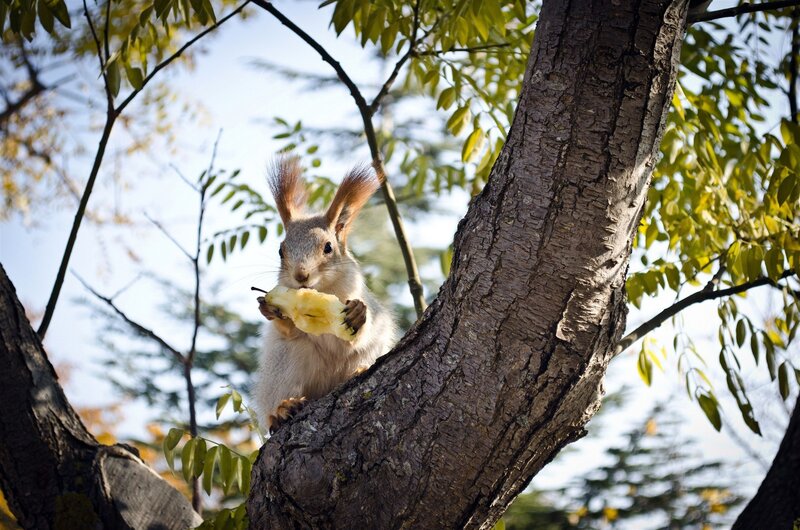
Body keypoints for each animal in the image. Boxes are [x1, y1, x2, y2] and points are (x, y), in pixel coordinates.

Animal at [254, 157, 397, 433]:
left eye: (328, 247)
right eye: (280, 250)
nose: (301, 276)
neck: (321, 290)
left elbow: (353, 337)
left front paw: (357, 314)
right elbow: (289, 331)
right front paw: (269, 310)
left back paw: (357, 371)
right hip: (286, 363)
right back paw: (282, 409)